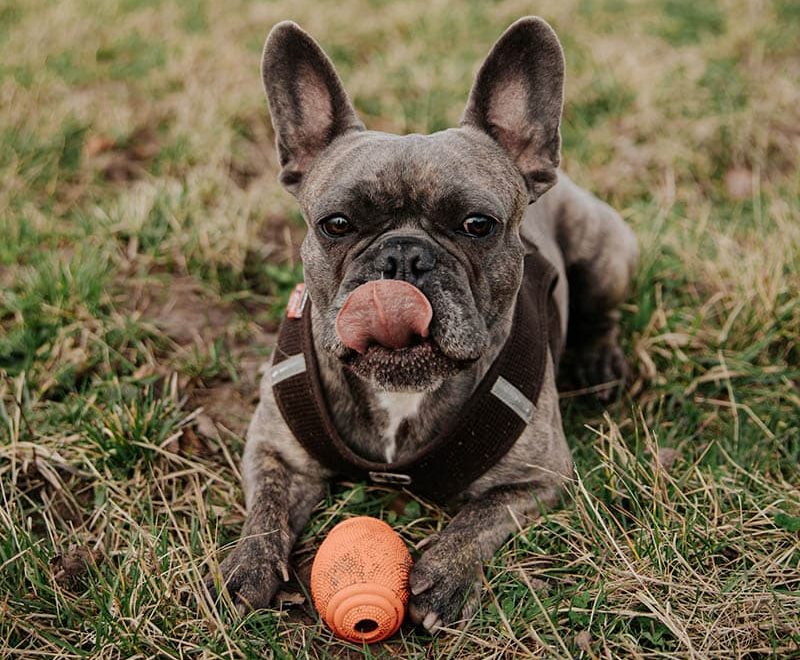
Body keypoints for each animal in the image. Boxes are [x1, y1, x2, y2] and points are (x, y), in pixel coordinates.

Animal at [208, 18, 636, 632]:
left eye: (478, 225)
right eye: (336, 224)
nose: (403, 257)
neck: (399, 393)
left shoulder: (538, 478)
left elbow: (481, 516)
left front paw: (445, 576)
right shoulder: (274, 450)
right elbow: (265, 509)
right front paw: (248, 565)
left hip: (606, 253)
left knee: (602, 312)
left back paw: (599, 361)